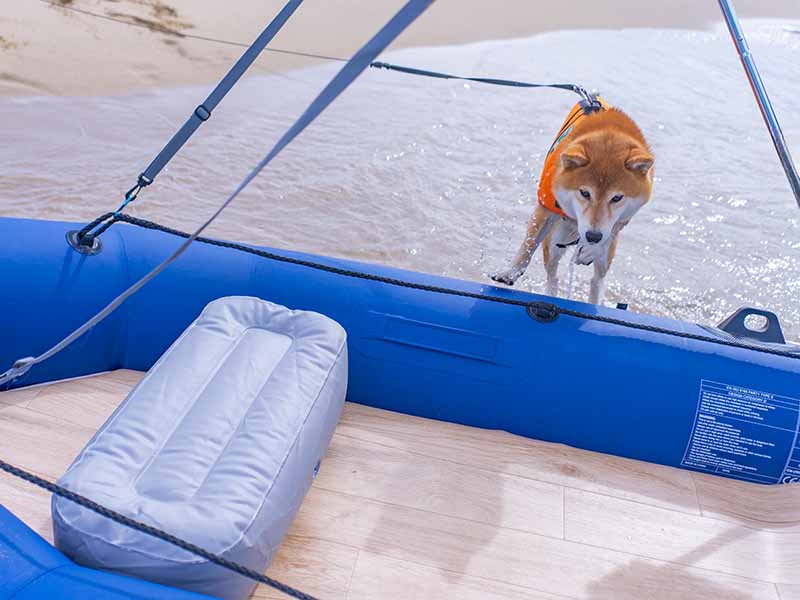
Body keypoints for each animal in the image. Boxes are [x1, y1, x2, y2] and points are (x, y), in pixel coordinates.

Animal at [490, 102, 652, 304]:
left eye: (617, 198)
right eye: (584, 193)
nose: (592, 236)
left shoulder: (624, 218)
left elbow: (609, 233)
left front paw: (591, 249)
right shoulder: (546, 207)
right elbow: (529, 243)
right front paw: (509, 273)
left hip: (606, 257)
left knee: (597, 280)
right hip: (554, 242)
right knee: (553, 276)